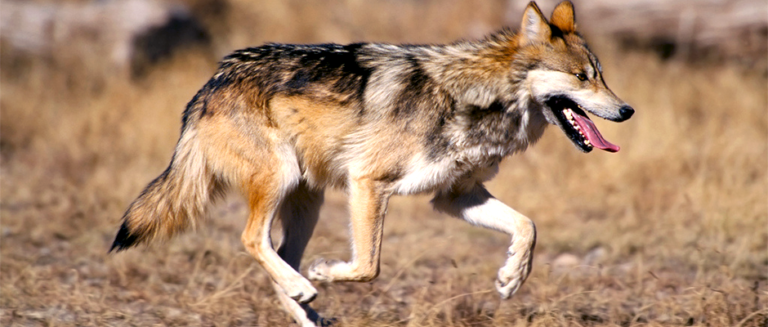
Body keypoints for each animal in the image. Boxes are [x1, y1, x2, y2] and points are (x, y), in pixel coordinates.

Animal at [109, 1, 636, 326]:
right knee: (253, 240)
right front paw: (326, 272)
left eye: (601, 76)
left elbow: (527, 226)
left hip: (308, 201)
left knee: (278, 257)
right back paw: (307, 286)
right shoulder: (369, 182)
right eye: (582, 77)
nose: (628, 110)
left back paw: (304, 304)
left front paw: (511, 278)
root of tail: (211, 82)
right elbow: (368, 266)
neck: (476, 97)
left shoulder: (455, 196)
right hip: (281, 181)